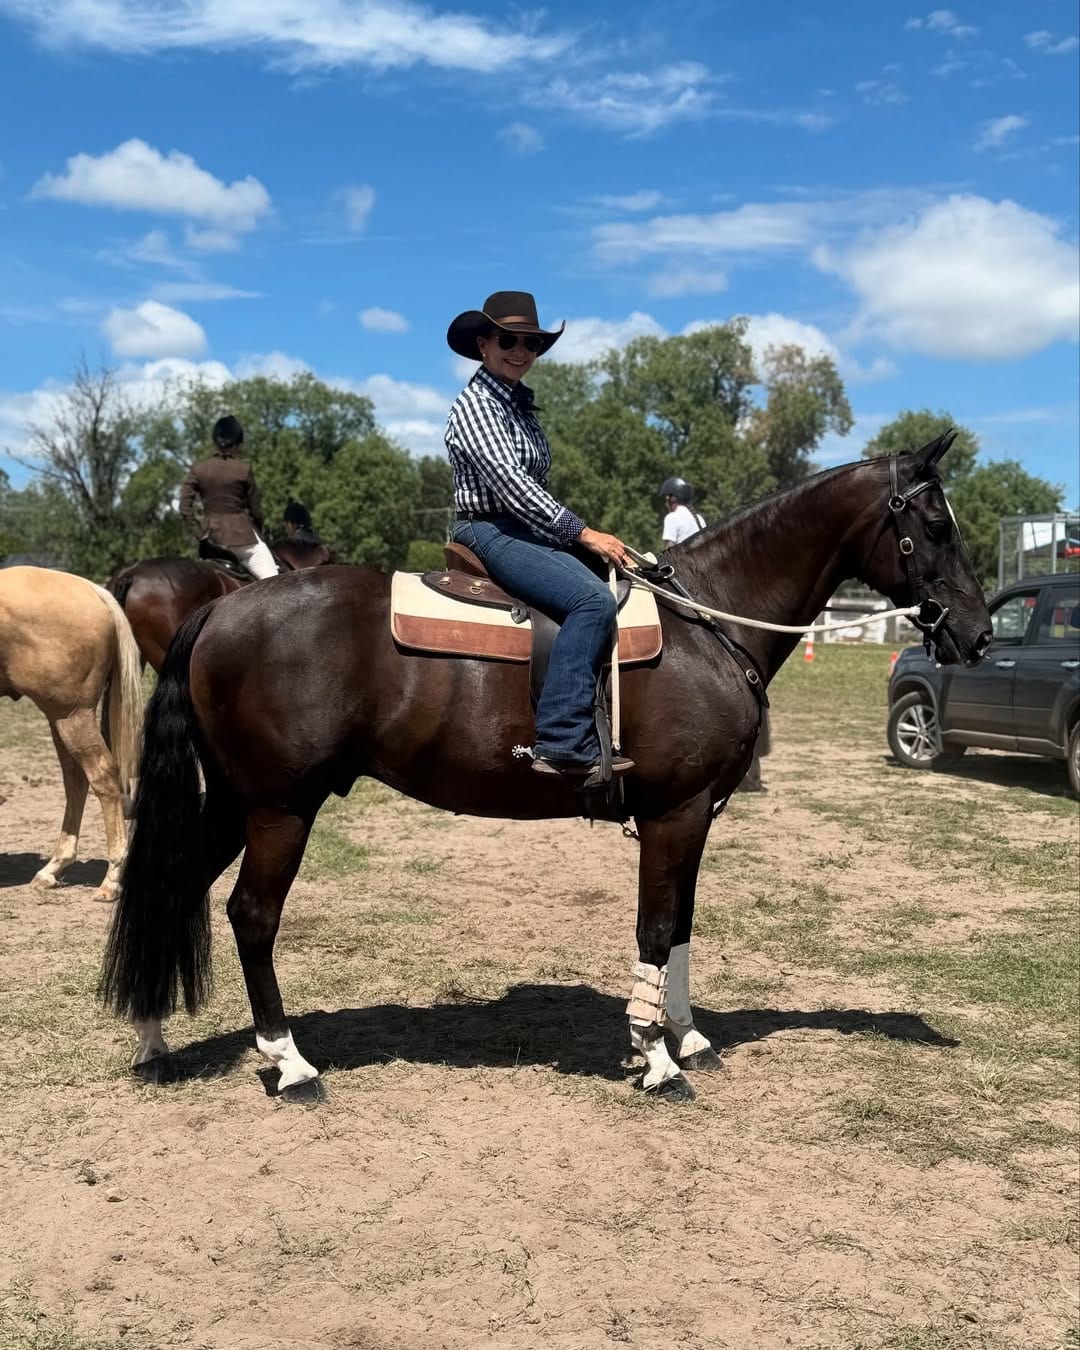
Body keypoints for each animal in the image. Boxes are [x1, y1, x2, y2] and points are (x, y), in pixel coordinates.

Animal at [0, 566, 143, 902]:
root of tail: (93, 590)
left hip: (71, 716)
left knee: (102, 776)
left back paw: (112, 878)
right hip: (61, 719)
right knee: (76, 780)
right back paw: (52, 869)